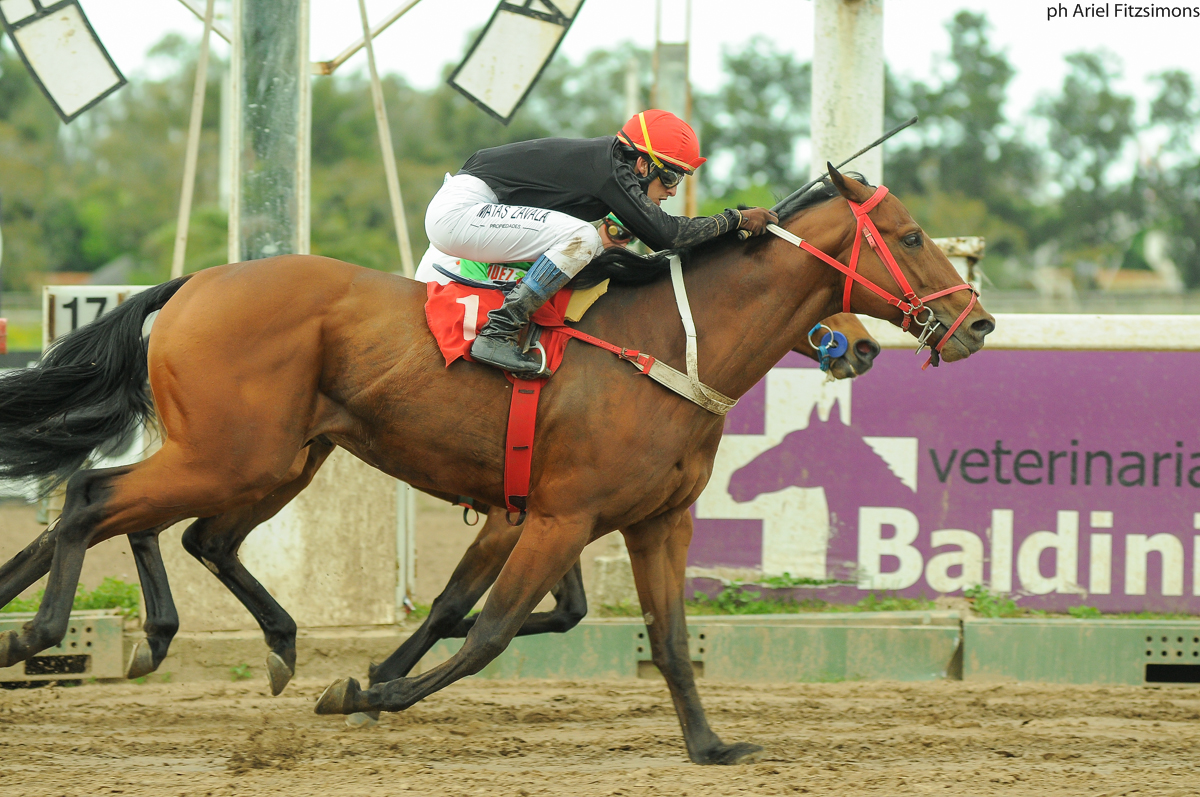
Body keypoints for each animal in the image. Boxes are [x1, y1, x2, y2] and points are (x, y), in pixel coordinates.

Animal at [0, 167, 993, 764]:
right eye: (908, 235)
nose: (978, 322)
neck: (671, 344)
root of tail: (197, 282)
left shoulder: (651, 520)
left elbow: (666, 638)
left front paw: (712, 745)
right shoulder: (554, 515)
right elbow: (485, 630)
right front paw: (366, 691)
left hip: (271, 459)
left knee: (177, 529)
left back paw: (245, 637)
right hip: (234, 452)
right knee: (93, 496)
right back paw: (44, 632)